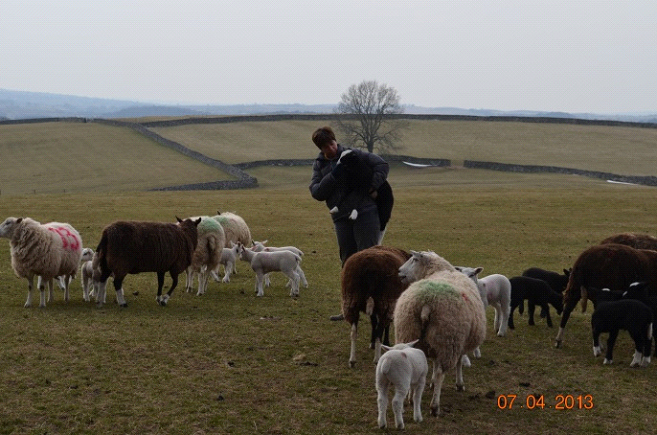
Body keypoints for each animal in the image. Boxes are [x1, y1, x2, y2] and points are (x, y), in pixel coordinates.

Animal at [392, 250, 484, 418]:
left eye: (414, 260)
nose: (399, 271)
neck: (439, 270)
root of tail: (427, 302)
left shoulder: (434, 344)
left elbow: (434, 362)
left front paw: (432, 382)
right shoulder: (460, 342)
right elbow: (458, 363)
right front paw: (459, 384)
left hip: (410, 331)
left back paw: (410, 398)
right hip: (449, 338)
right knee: (442, 372)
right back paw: (434, 406)